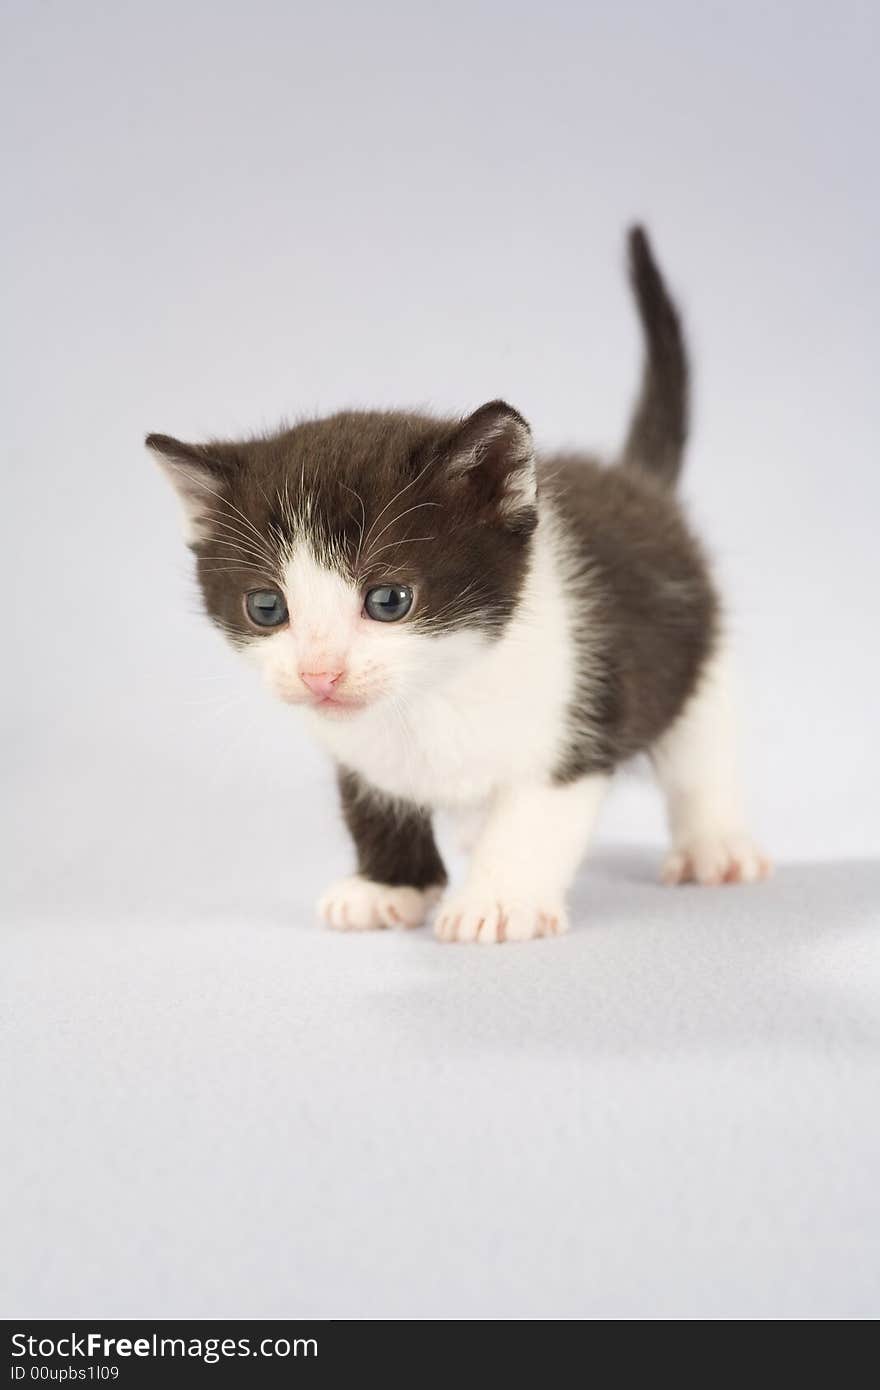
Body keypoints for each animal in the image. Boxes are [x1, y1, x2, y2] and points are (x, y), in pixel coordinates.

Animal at [147, 227, 767, 945]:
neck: (429, 699)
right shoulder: (356, 749)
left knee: (702, 750)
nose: (319, 675)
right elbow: (372, 800)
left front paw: (497, 901)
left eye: (388, 600)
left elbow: (532, 818)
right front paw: (387, 886)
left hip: (694, 654)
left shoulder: (578, 720)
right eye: (266, 606)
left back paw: (713, 846)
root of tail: (635, 480)